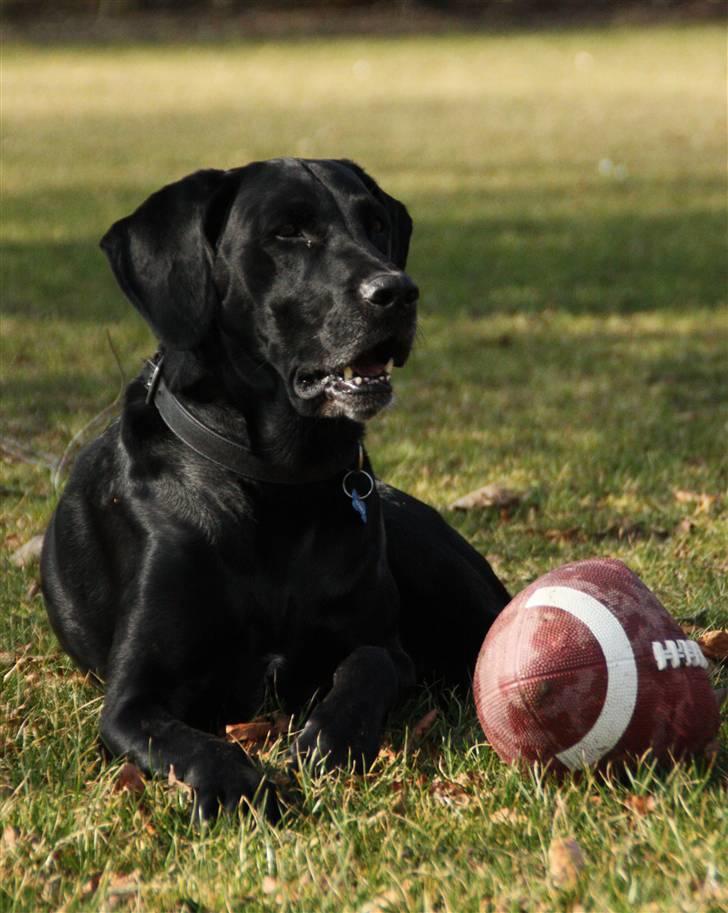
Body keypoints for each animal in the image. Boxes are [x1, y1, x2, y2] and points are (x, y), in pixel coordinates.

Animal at [39, 159, 506, 820]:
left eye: (376, 224)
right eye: (288, 232)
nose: (398, 291)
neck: (274, 485)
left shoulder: (385, 645)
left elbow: (366, 666)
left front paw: (331, 737)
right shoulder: (132, 699)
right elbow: (192, 742)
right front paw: (239, 785)